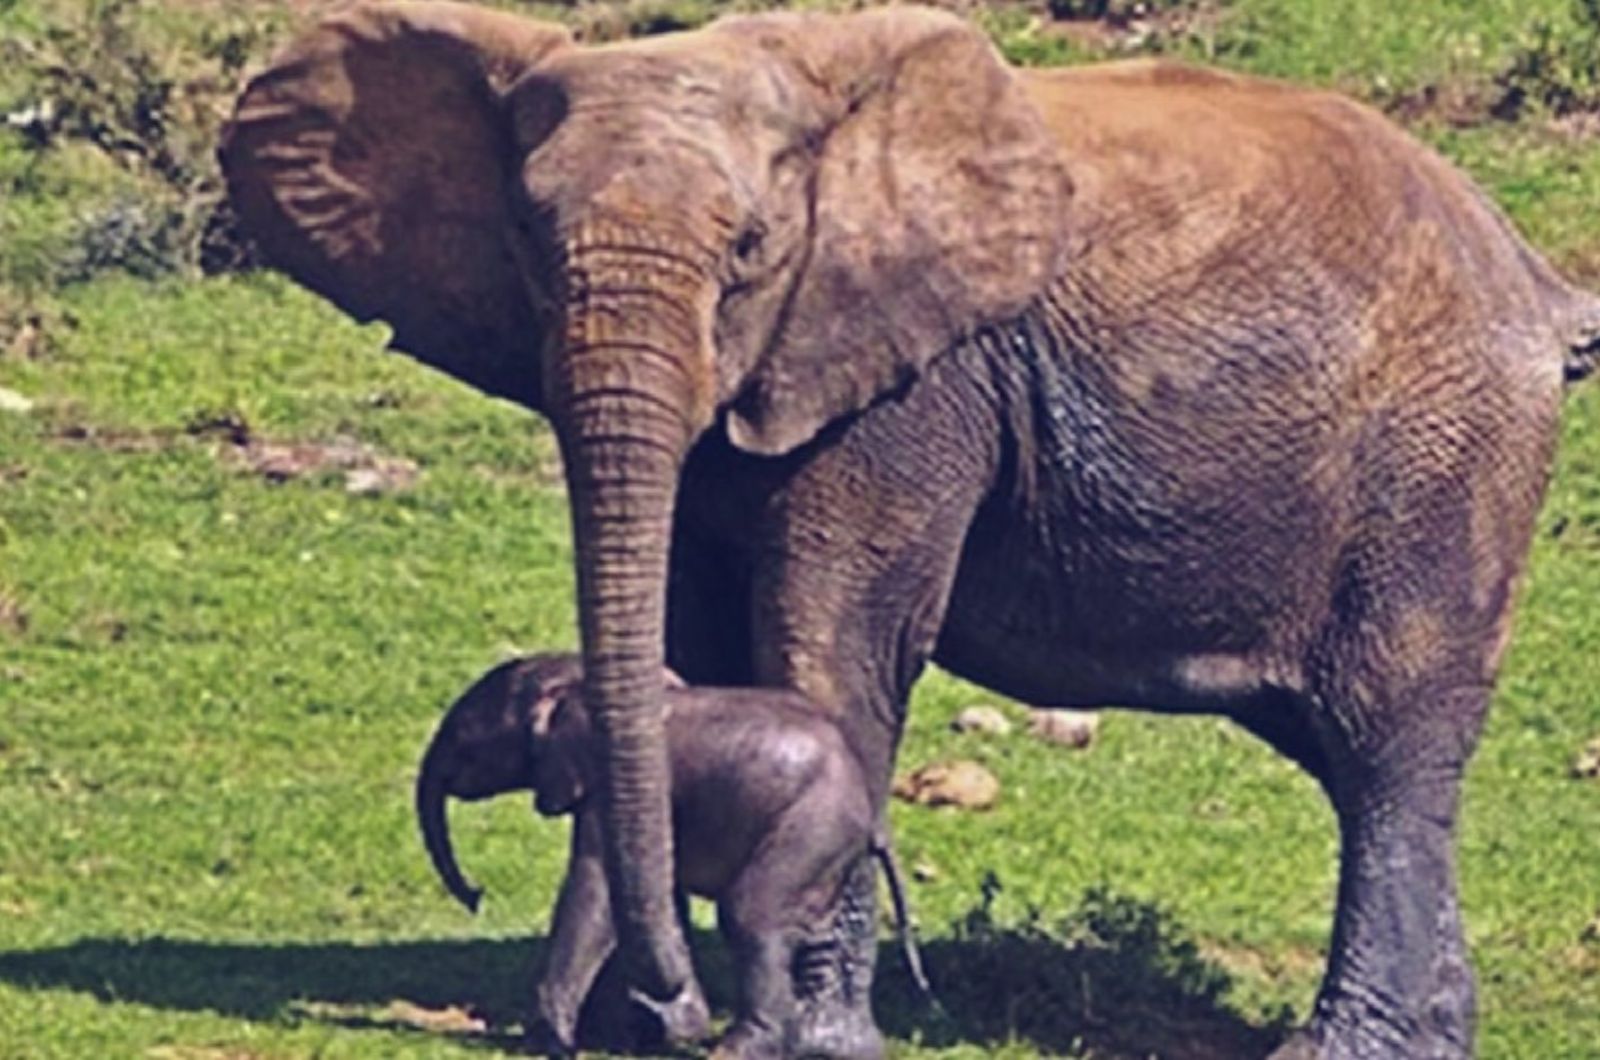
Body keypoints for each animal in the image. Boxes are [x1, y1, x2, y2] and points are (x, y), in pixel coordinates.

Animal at [419, 656, 934, 1060]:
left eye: (465, 737)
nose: (476, 896)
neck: (574, 681)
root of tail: (873, 816)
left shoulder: (602, 788)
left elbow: (593, 892)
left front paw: (546, 1043)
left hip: (811, 826)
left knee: (750, 914)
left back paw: (738, 1051)